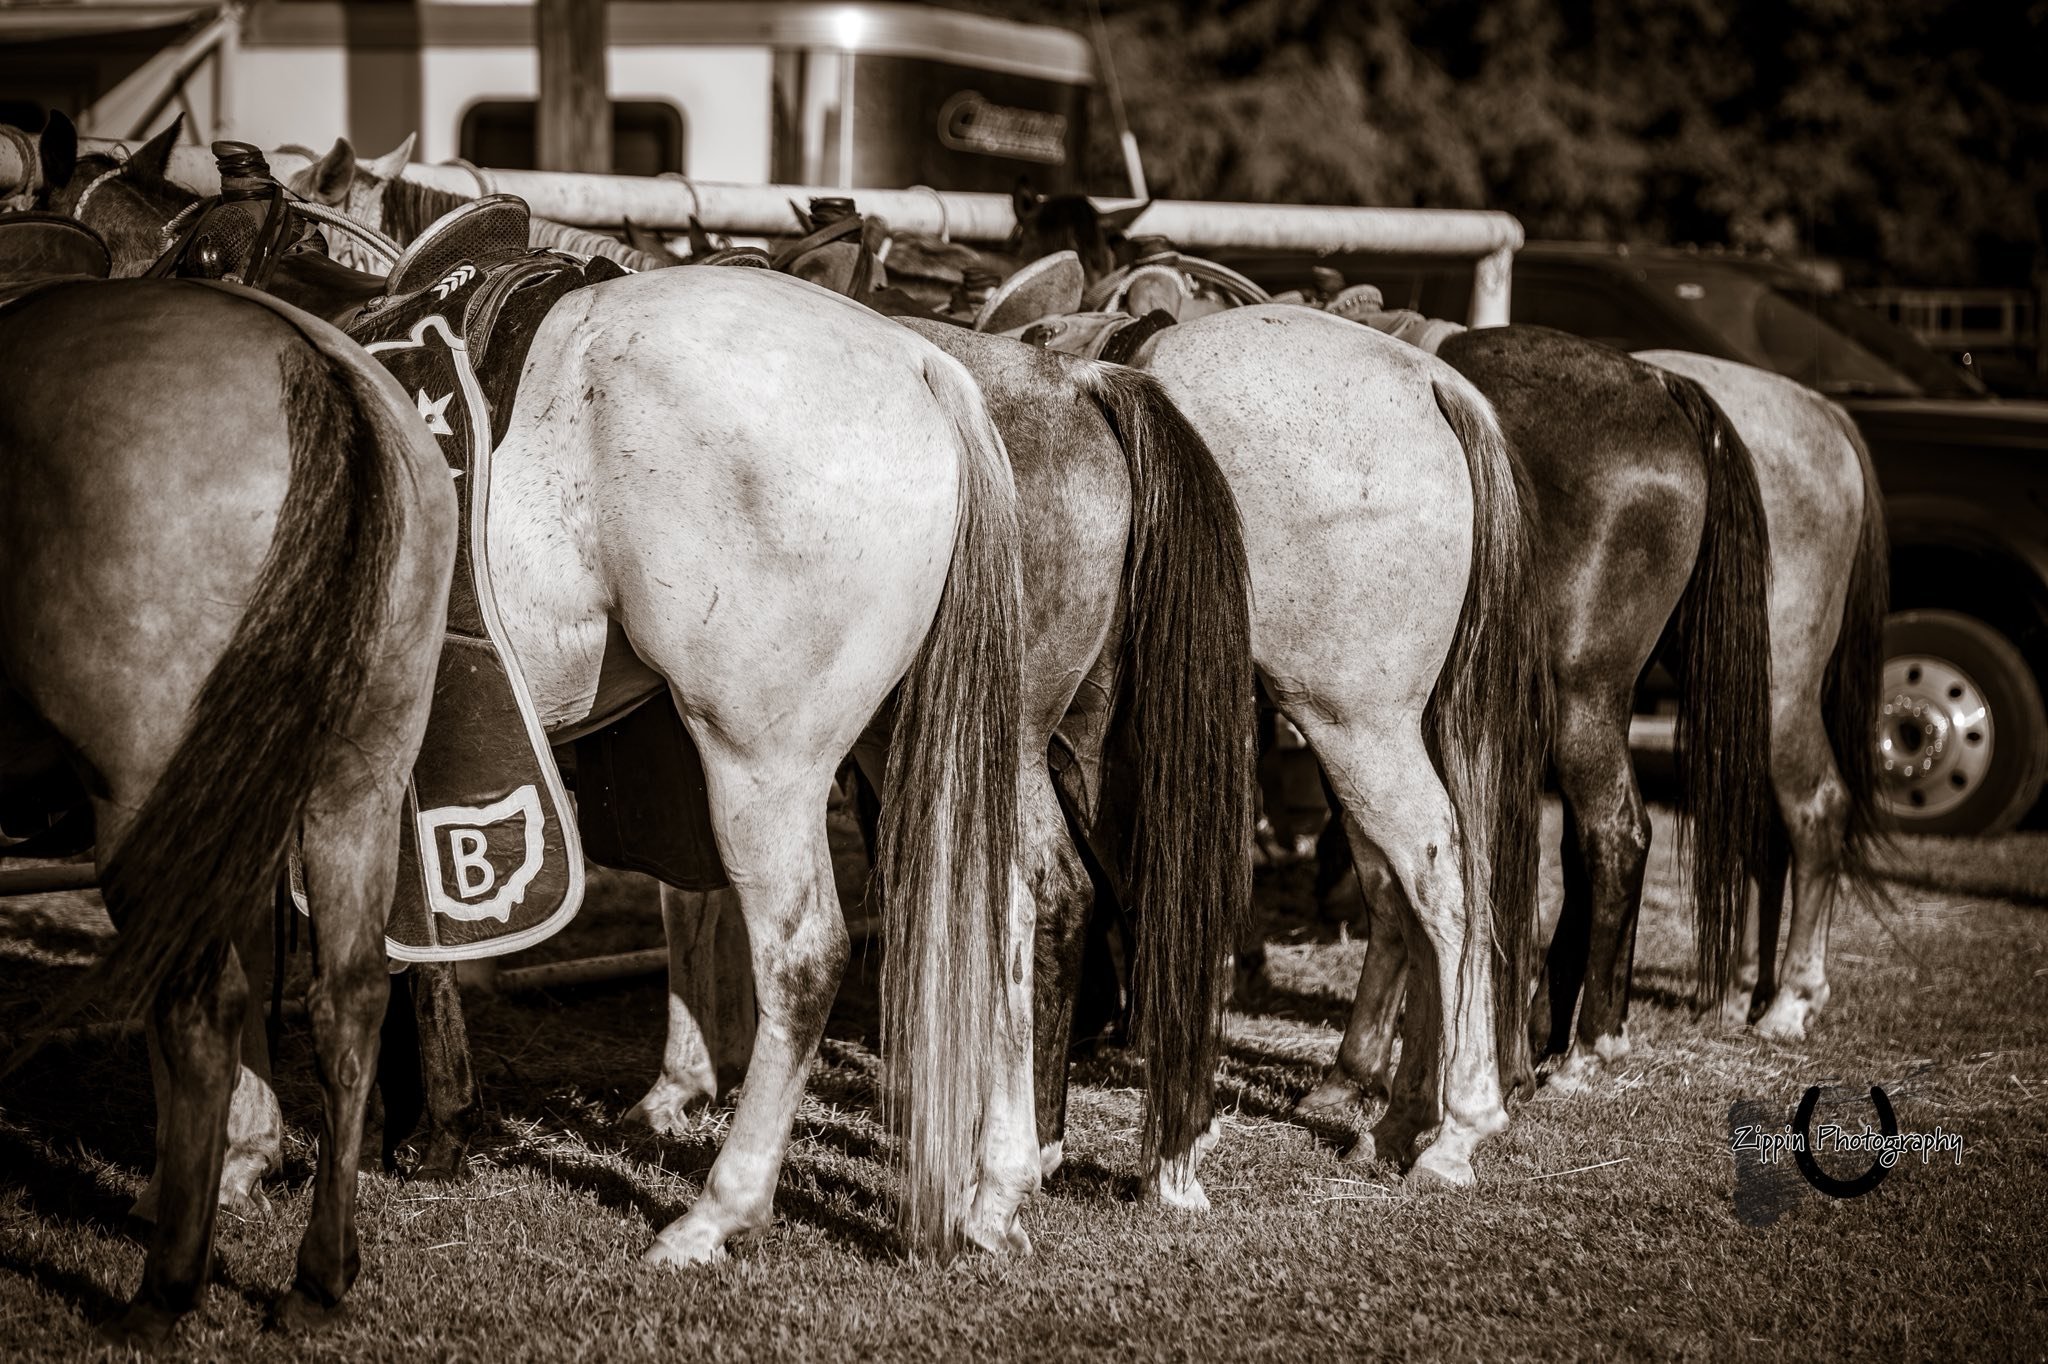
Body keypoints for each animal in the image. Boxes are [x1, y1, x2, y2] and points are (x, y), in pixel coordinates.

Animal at [0, 274, 457, 1344]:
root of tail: (307, 365)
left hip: (145, 801)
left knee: (202, 1010)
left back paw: (165, 1289)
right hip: (357, 780)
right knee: (349, 996)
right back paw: (318, 1280)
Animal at [43, 123, 1045, 1264]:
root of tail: (922, 365)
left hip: (763, 759)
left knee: (801, 954)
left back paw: (718, 1210)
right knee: (1007, 906)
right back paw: (995, 1191)